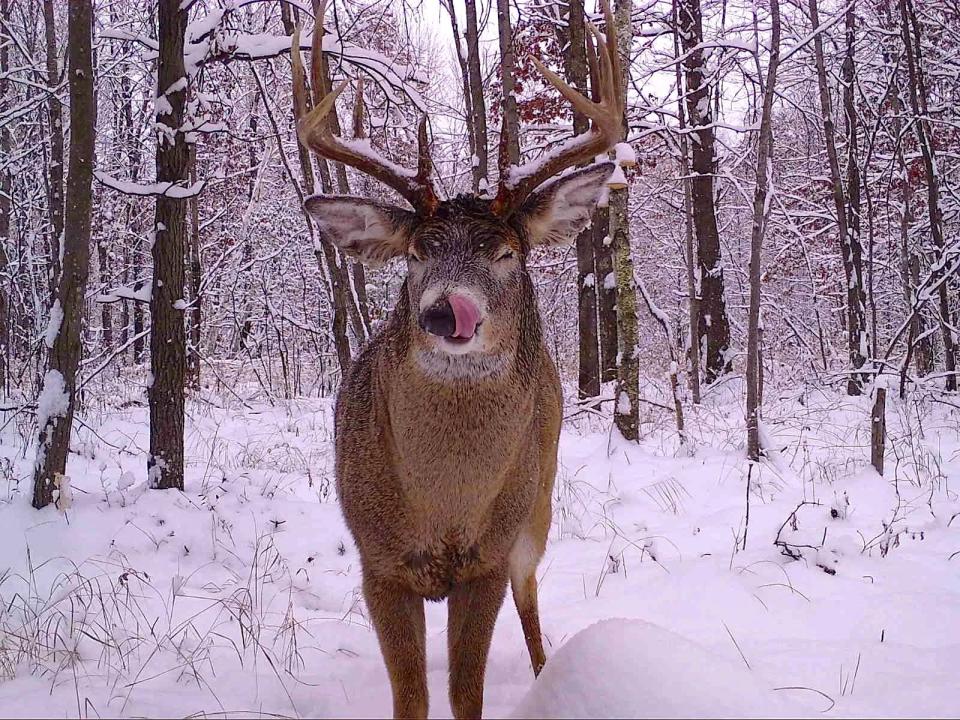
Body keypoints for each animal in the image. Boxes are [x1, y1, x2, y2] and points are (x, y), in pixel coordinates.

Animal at [292, 4, 624, 716]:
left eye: (505, 253)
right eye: (417, 252)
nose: (446, 313)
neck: (441, 509)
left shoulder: (486, 562)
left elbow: (466, 695)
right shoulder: (379, 565)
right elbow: (413, 697)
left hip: (538, 502)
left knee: (531, 594)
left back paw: (546, 673)